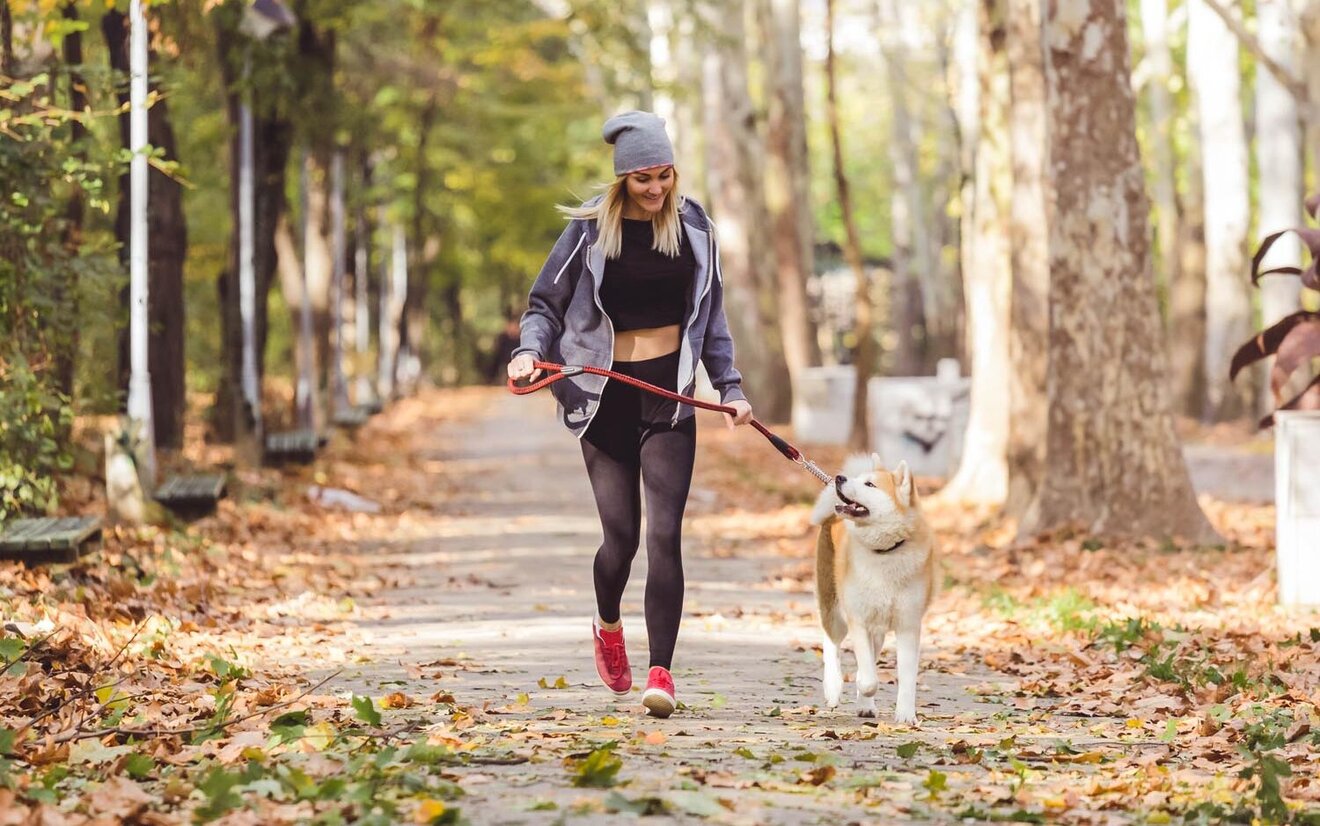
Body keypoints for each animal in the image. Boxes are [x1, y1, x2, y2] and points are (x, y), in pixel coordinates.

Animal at [807, 453, 934, 717]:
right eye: (860, 480)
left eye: (870, 484)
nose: (840, 478)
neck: (885, 552)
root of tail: (831, 516)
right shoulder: (859, 619)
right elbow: (868, 679)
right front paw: (862, 688)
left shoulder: (908, 624)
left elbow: (907, 678)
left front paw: (906, 715)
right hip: (834, 608)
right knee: (830, 642)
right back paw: (833, 687)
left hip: (878, 628)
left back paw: (865, 706)